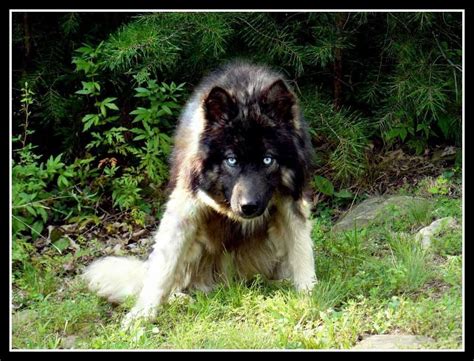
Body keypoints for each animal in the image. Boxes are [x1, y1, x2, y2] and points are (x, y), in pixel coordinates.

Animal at [83, 62, 316, 326]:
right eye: (231, 160)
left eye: (268, 160)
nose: (248, 207)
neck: (246, 90)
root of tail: (227, 281)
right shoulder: (186, 206)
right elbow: (162, 271)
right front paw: (141, 315)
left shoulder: (291, 201)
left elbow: (302, 251)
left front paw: (309, 295)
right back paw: (179, 299)